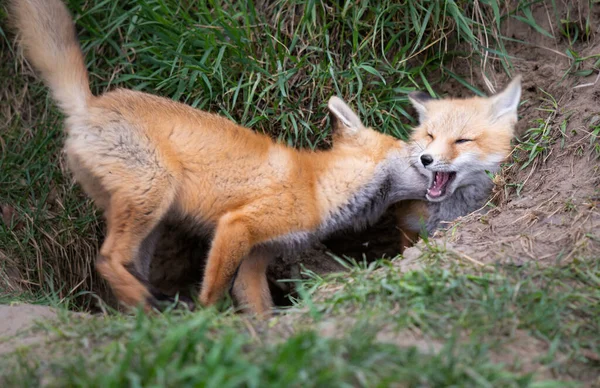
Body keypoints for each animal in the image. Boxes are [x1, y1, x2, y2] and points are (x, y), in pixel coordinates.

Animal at [10, 0, 432, 316]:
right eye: (419, 153)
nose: (438, 163)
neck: (318, 186)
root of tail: (90, 105)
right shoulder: (236, 226)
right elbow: (213, 293)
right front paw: (208, 322)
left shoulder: (258, 255)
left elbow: (258, 306)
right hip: (154, 192)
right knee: (105, 259)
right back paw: (151, 306)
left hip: (150, 222)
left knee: (123, 266)